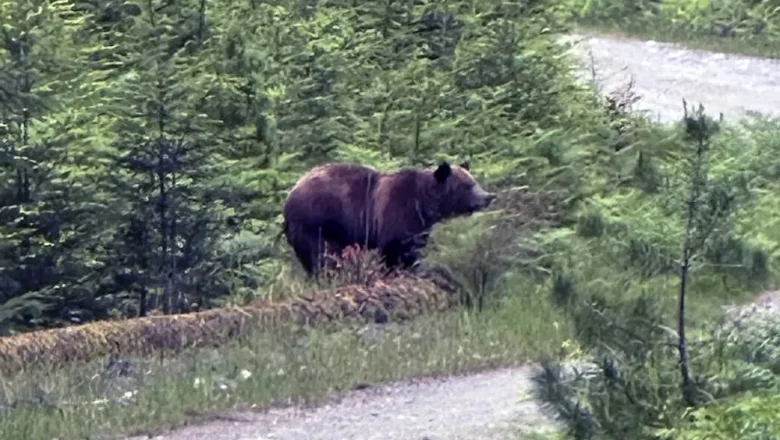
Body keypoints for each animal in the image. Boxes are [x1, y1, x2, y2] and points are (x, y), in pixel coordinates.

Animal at [281, 161, 496, 277]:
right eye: (468, 185)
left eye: (474, 181)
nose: (488, 196)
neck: (424, 204)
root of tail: (289, 196)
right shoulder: (396, 212)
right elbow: (395, 248)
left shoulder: (419, 226)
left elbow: (413, 248)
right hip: (316, 222)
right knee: (322, 255)